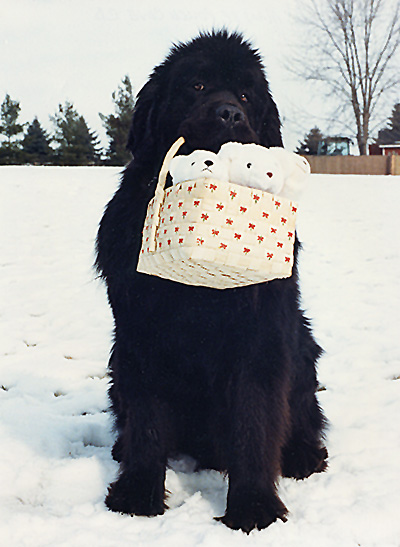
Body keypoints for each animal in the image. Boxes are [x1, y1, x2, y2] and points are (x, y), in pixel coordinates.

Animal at [97, 31, 328, 536]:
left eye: (245, 96)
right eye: (197, 85)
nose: (229, 114)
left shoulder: (260, 337)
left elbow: (256, 422)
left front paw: (254, 506)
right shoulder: (139, 333)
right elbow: (145, 421)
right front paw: (137, 494)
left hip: (302, 346)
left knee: (304, 415)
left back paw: (304, 455)